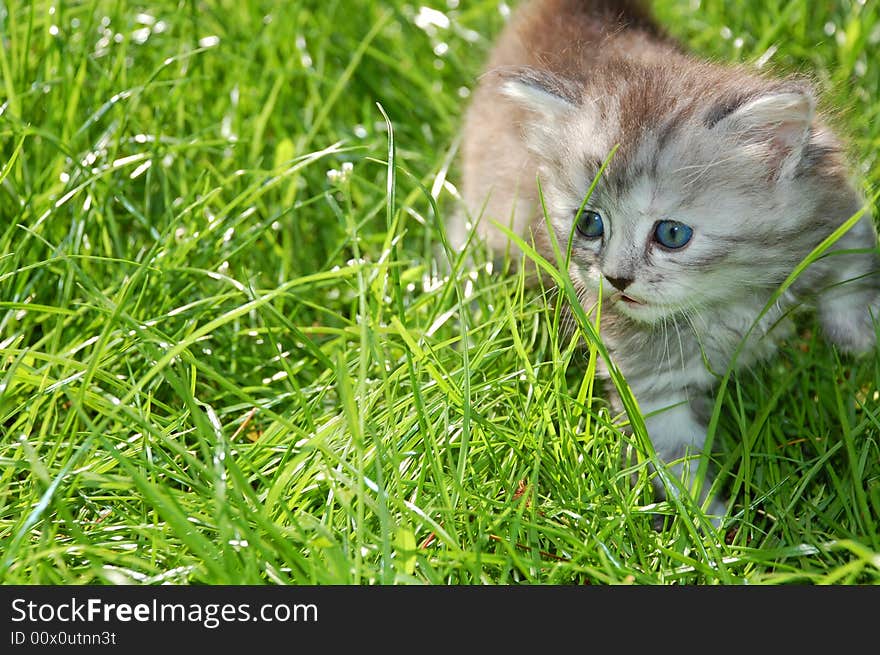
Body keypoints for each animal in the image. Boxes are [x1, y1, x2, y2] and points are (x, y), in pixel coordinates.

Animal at [454, 0, 880, 524]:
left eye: (672, 234)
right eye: (590, 224)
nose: (615, 279)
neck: (728, 301)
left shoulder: (837, 212)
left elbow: (853, 276)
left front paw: (859, 340)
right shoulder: (652, 394)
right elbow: (681, 470)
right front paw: (716, 530)